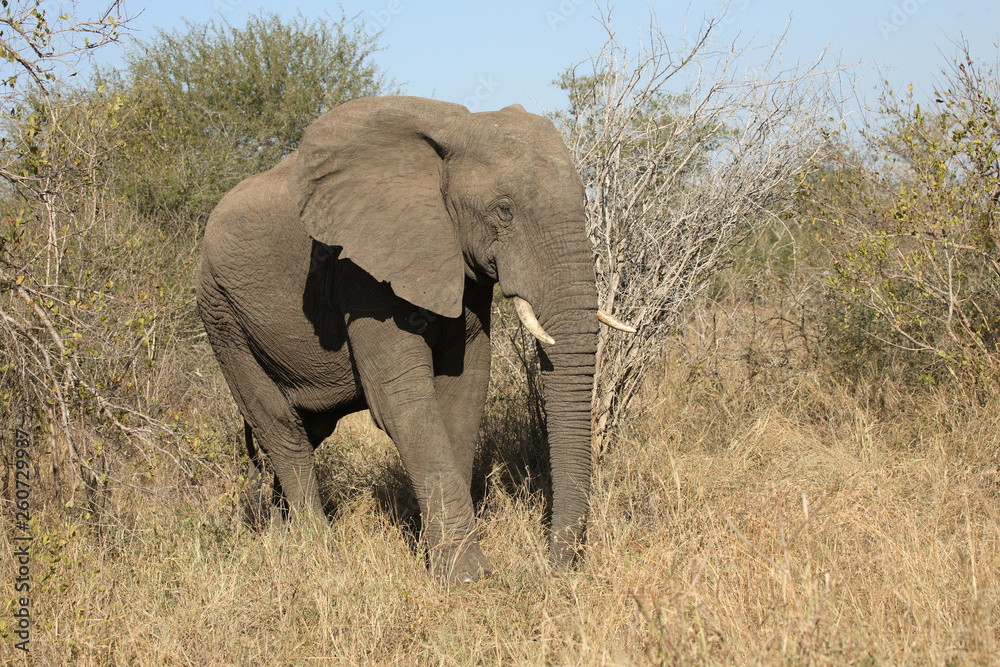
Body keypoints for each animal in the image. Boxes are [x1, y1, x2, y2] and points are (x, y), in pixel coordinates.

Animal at [196, 95, 632, 584]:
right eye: (503, 209)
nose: (554, 568)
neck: (454, 134)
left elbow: (464, 389)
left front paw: (441, 556)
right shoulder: (361, 269)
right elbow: (400, 399)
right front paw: (468, 579)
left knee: (306, 430)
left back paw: (280, 537)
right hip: (221, 315)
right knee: (279, 426)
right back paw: (317, 550)